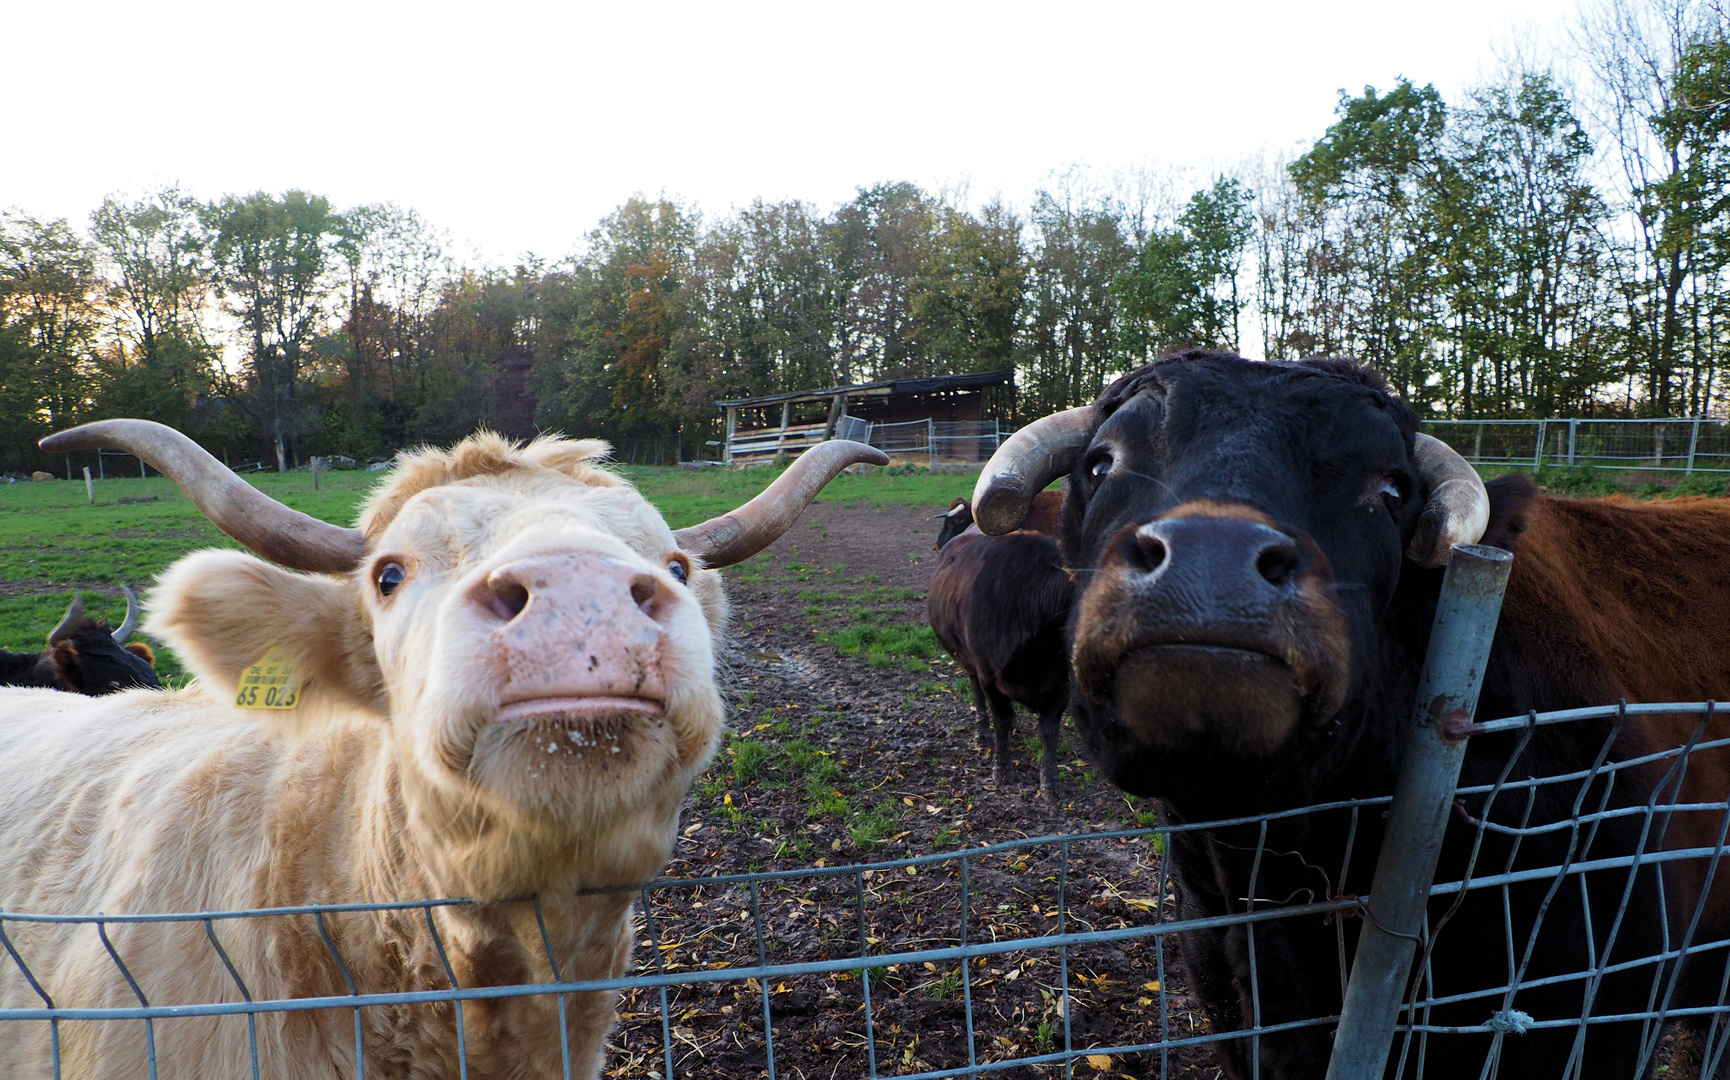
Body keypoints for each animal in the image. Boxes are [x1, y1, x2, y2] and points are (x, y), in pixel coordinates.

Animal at [927, 488, 1072, 792]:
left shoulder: (1062, 685)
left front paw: (1050, 781)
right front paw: (1002, 770)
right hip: (967, 659)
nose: (936, 545)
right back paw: (982, 731)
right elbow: (1001, 720)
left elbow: (1049, 731)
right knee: (976, 693)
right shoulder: (989, 676)